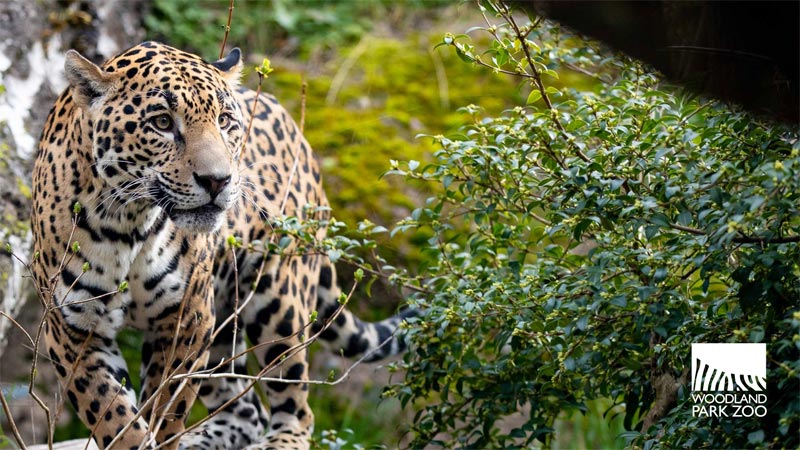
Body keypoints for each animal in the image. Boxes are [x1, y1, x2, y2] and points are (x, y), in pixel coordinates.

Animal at [31, 41, 413, 450]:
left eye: (225, 121)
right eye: (162, 123)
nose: (218, 180)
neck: (129, 223)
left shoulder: (189, 317)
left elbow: (168, 407)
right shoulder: (72, 329)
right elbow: (112, 415)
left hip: (277, 299)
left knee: (295, 407)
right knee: (247, 410)